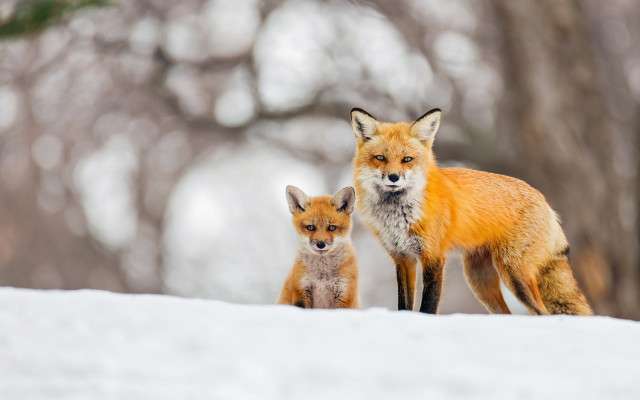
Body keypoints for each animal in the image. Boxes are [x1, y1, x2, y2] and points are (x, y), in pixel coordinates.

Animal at [350, 107, 593, 316]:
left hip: (513, 272)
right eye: (380, 158)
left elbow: (428, 306)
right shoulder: (403, 258)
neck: (398, 216)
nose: (393, 177)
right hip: (479, 280)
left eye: (407, 159)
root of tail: (544, 200)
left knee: (541, 313)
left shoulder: (433, 256)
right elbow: (404, 306)